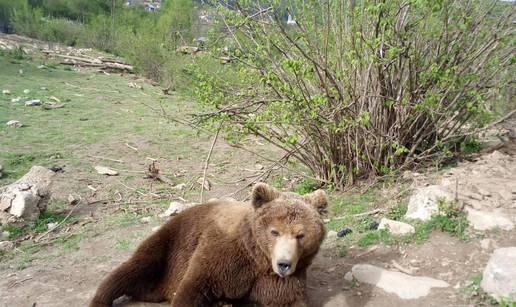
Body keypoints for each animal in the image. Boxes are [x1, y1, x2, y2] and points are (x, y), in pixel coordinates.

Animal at [88, 184, 326, 306]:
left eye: (301, 235)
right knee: (132, 270)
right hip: (169, 245)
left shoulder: (277, 280)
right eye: (274, 232)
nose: (284, 264)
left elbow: (286, 299)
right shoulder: (222, 256)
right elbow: (194, 287)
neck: (258, 257)